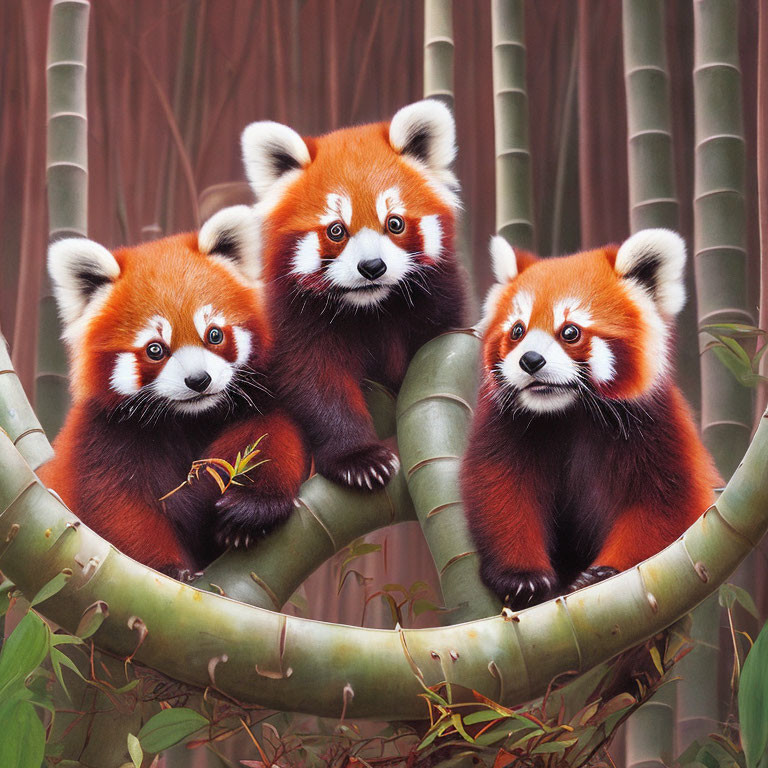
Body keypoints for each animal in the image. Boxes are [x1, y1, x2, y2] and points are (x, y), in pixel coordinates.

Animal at [38, 207, 308, 580]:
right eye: (155, 349)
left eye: (214, 335)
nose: (198, 380)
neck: (188, 418)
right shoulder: (102, 437)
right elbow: (118, 505)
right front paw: (167, 570)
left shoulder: (258, 396)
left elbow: (270, 437)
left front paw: (251, 511)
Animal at [240, 99, 468, 488]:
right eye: (336, 230)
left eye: (394, 223)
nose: (372, 266)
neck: (370, 308)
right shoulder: (293, 320)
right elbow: (317, 383)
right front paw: (359, 460)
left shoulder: (440, 302)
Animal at [462, 231, 720, 608]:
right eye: (517, 331)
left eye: (570, 332)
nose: (530, 360)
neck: (570, 410)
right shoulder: (506, 424)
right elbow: (502, 487)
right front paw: (520, 577)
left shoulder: (655, 424)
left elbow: (666, 503)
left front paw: (604, 574)